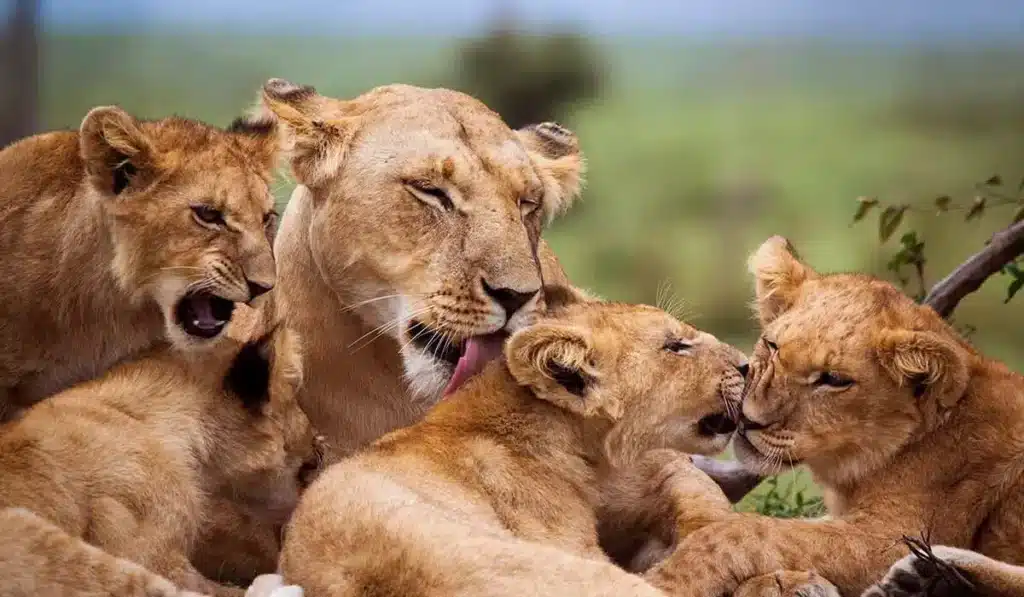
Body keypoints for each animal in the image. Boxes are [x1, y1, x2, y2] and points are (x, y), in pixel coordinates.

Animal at [635, 235, 1024, 597]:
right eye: (772, 346)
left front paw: (668, 579)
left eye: (834, 380)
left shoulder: (893, 534)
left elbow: (747, 532)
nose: (748, 419)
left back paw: (934, 575)